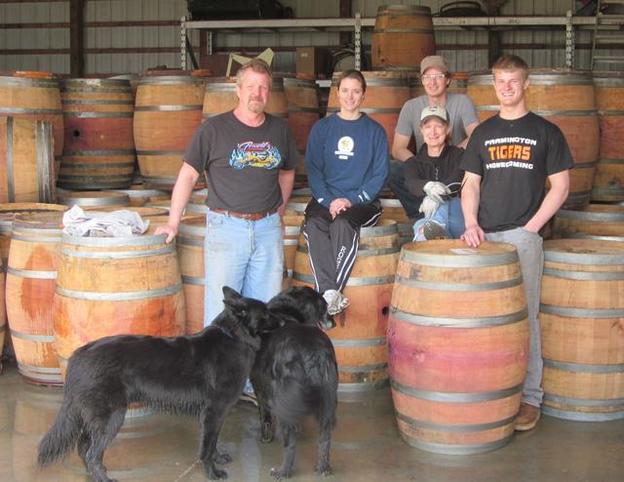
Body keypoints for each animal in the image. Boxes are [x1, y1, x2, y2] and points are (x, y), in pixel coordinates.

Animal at [37, 286, 270, 482]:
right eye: (266, 313)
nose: (280, 319)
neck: (234, 336)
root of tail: (79, 354)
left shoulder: (215, 415)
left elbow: (213, 443)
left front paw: (218, 457)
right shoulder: (213, 413)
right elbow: (206, 447)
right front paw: (212, 472)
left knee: (84, 447)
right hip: (112, 418)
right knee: (92, 453)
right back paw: (103, 478)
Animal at [251, 286, 338, 478]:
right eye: (324, 308)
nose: (334, 323)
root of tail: (315, 353)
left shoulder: (259, 386)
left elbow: (264, 414)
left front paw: (265, 437)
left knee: (290, 444)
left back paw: (282, 471)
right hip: (328, 400)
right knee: (325, 438)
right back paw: (323, 467)